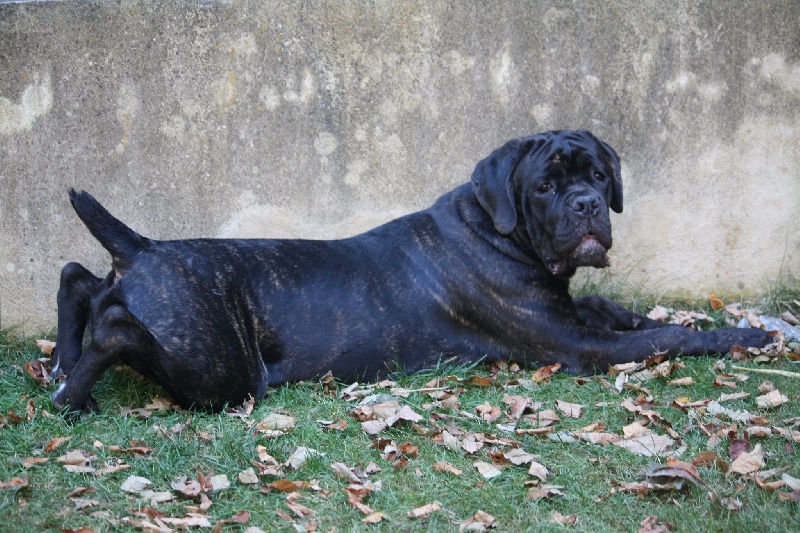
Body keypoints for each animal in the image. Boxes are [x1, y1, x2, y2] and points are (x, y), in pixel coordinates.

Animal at [50, 130, 776, 412]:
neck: (500, 229)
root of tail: (144, 247)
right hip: (218, 369)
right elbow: (664, 337)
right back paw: (74, 386)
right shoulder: (576, 344)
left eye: (598, 174)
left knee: (81, 277)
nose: (587, 204)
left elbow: (619, 311)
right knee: (118, 328)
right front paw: (746, 335)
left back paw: (63, 360)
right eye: (546, 186)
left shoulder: (573, 314)